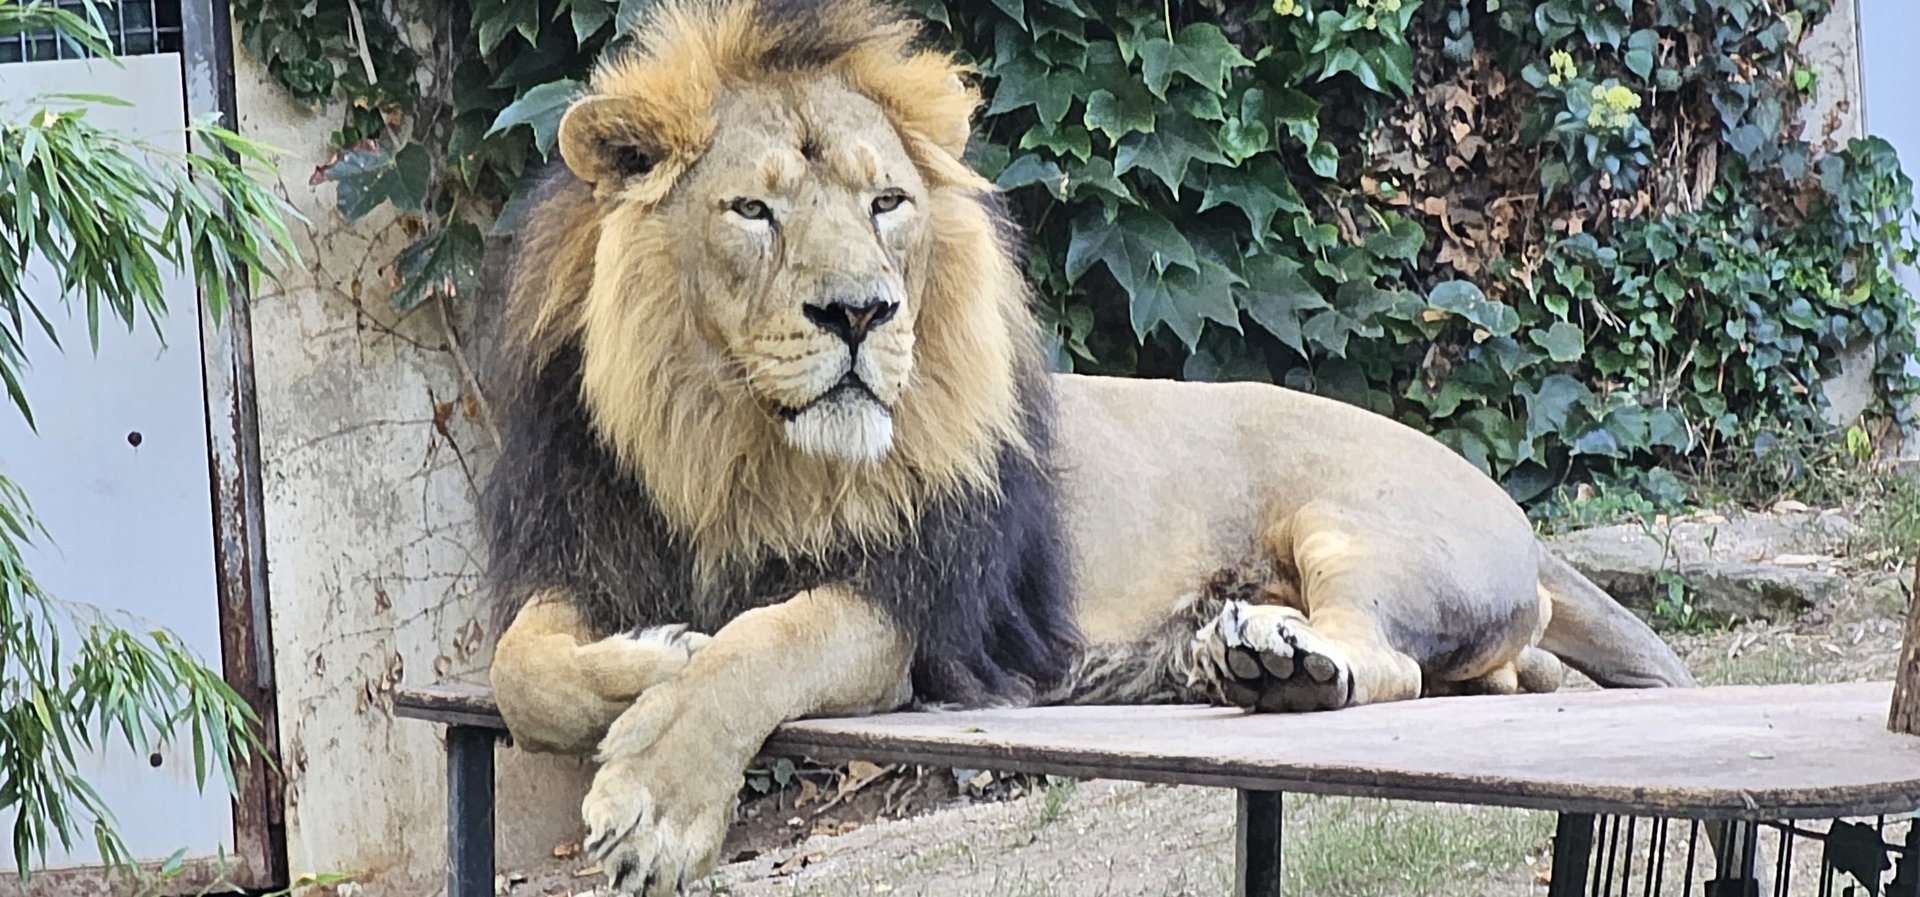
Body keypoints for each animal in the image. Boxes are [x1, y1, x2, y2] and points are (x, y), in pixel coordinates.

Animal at [477, 0, 1697, 892]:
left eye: (886, 205)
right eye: (752, 211)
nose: (862, 313)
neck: (728, 448)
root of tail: (1519, 521)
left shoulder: (917, 608)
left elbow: (764, 645)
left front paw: (657, 794)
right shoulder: (579, 552)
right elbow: (520, 671)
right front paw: (653, 652)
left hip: (1363, 526)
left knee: (1388, 660)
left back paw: (1280, 663)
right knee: (1499, 675)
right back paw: (1233, 658)